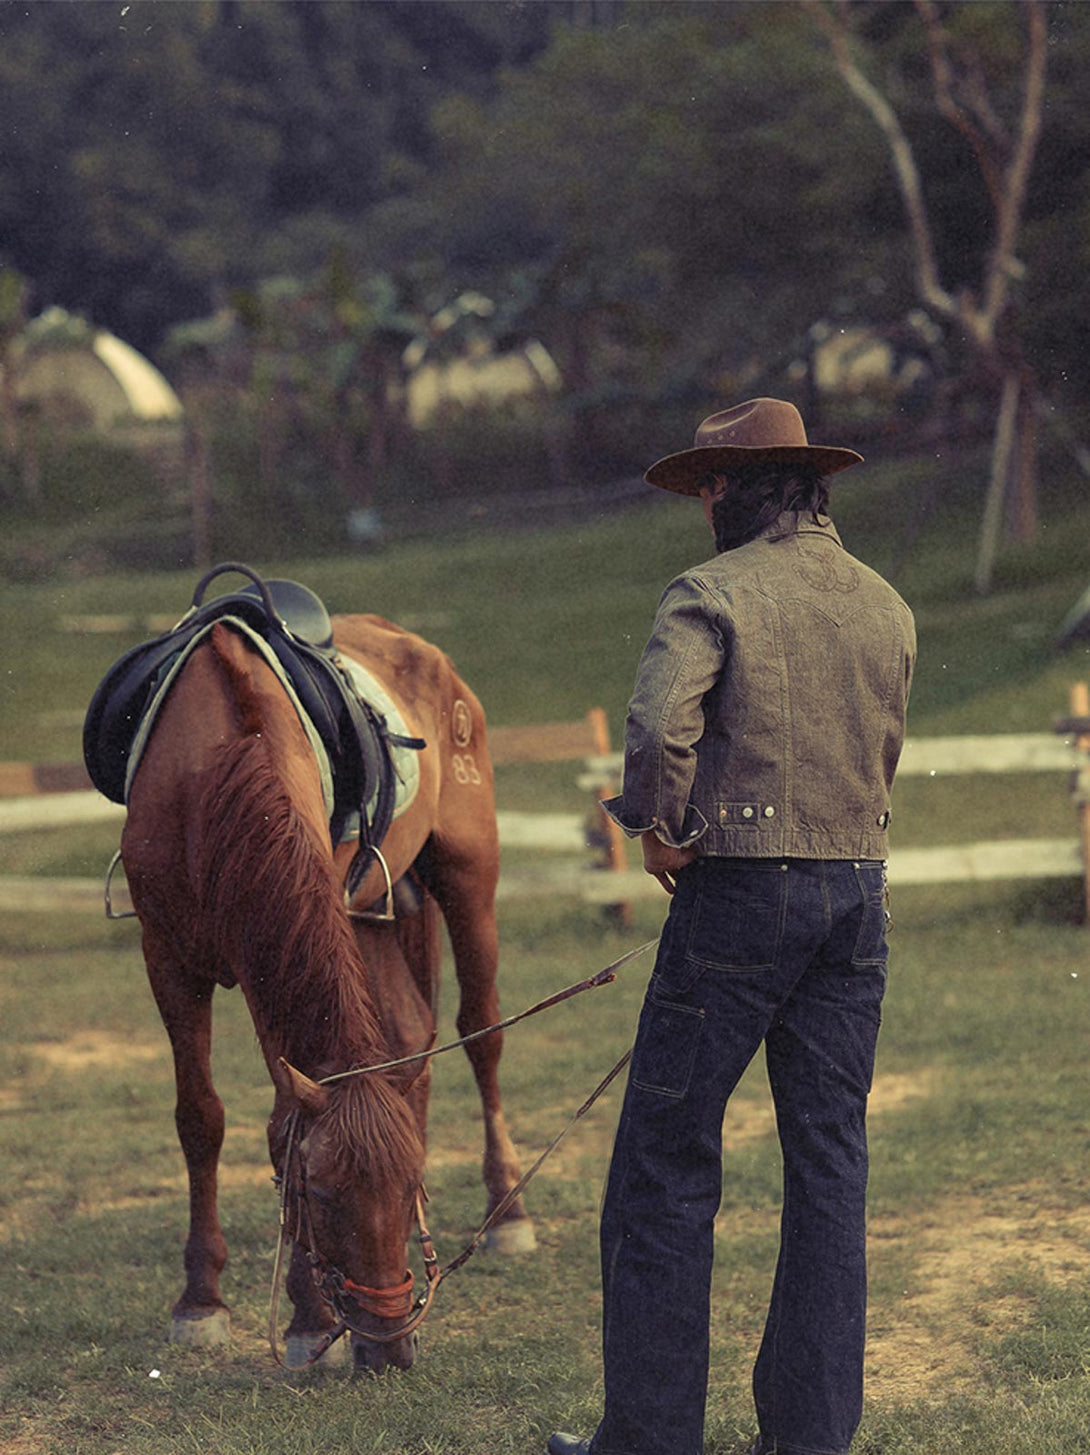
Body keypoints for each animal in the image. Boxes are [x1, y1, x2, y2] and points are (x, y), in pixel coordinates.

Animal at [120, 614, 535, 1373]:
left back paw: (510, 1212)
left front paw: (305, 1317)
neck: (210, 770)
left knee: (482, 1032)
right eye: (320, 1194)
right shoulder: (167, 958)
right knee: (411, 1038)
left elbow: (282, 1118)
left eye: (408, 1192)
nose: (391, 1346)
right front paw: (202, 1299)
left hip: (468, 876)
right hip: (370, 913)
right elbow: (201, 1117)